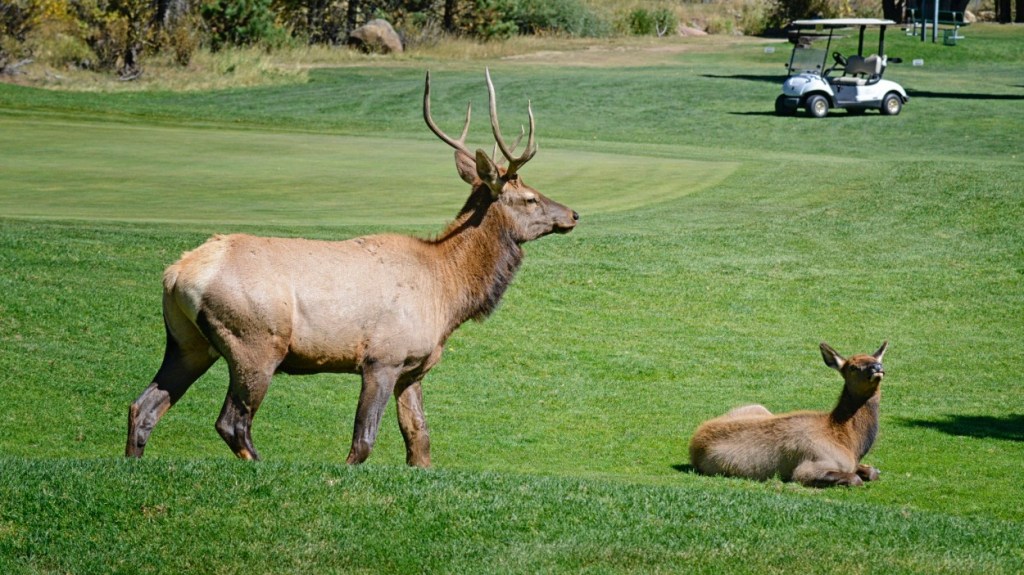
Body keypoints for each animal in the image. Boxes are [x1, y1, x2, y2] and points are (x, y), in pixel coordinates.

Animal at [121, 70, 577, 466]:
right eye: (530, 198)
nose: (573, 213)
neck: (448, 295)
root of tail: (176, 274)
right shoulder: (382, 358)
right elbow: (363, 442)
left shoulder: (413, 368)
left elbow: (420, 441)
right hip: (255, 342)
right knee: (232, 422)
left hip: (188, 343)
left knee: (143, 407)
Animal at [688, 341, 888, 484]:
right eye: (852, 367)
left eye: (878, 360)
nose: (877, 368)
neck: (850, 443)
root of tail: (694, 442)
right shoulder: (809, 467)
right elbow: (855, 479)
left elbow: (872, 472)